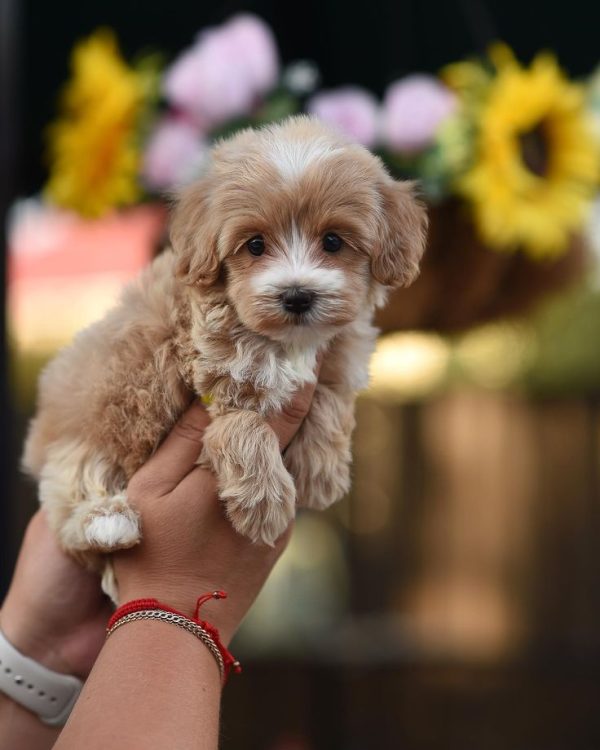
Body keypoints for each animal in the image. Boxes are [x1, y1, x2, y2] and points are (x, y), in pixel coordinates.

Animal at [23, 117, 426, 584]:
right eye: (254, 245)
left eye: (332, 242)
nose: (297, 296)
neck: (288, 342)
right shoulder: (220, 373)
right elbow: (244, 427)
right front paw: (265, 504)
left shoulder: (337, 358)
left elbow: (330, 400)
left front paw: (321, 471)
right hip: (91, 423)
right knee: (70, 489)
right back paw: (106, 521)